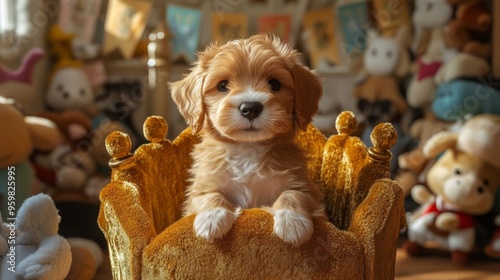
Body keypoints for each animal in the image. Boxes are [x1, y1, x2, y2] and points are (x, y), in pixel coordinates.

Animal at [170, 34, 326, 246]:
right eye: (222, 85)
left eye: (274, 84)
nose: (250, 108)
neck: (248, 150)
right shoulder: (200, 187)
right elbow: (208, 195)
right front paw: (212, 217)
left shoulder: (306, 186)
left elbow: (294, 194)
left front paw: (293, 221)